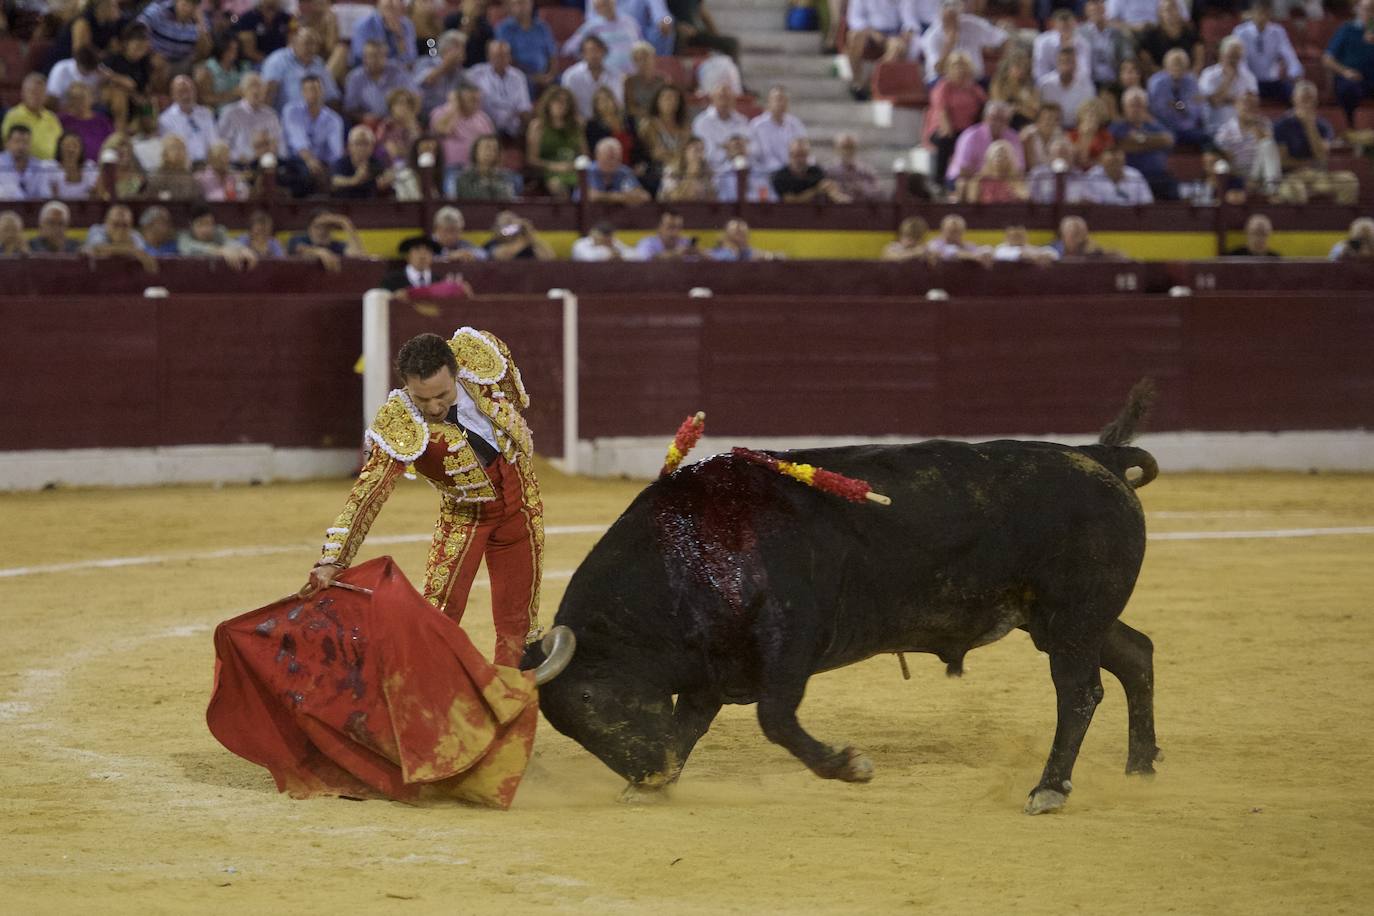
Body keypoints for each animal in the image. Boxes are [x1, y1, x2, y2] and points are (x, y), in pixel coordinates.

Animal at [524, 384, 1159, 813]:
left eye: (586, 698)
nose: (648, 772)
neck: (689, 551)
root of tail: (1098, 458)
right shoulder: (715, 667)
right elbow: (688, 726)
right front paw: (654, 788)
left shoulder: (790, 643)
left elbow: (775, 719)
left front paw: (850, 766)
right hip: (1065, 622)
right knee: (1136, 654)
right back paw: (1141, 767)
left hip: (1072, 620)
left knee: (1079, 692)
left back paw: (1049, 788)